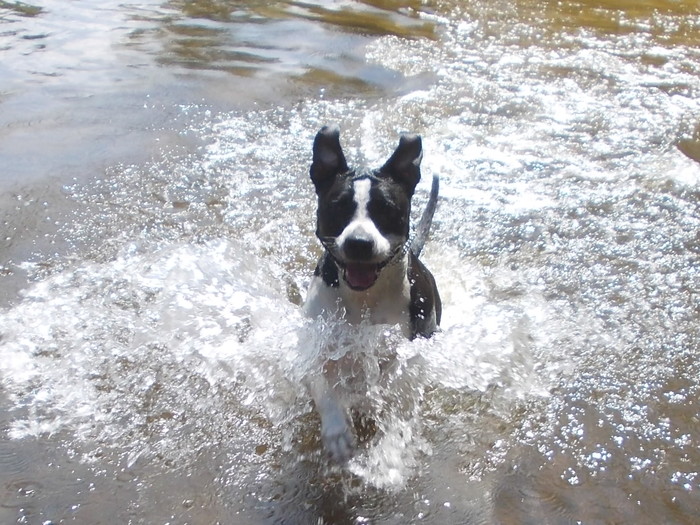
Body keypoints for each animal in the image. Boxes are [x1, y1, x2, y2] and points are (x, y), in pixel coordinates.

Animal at [302, 125, 442, 460]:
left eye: (386, 209)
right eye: (338, 207)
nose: (359, 243)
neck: (364, 297)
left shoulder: (410, 347)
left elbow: (394, 381)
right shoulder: (318, 342)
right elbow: (321, 382)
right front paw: (337, 431)